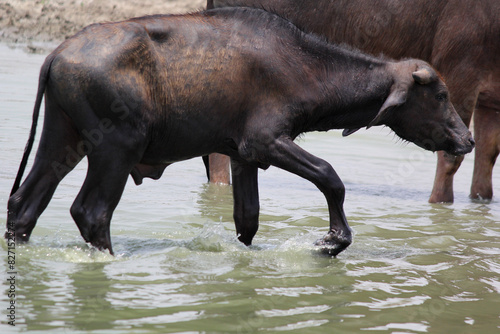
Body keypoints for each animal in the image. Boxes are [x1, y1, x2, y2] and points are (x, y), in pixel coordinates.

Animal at [6, 7, 472, 256]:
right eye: (441, 94)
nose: (466, 140)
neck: (303, 63)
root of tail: (57, 53)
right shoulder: (265, 142)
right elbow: (330, 177)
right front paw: (332, 240)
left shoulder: (243, 157)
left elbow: (247, 219)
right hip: (116, 149)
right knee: (92, 212)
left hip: (62, 141)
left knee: (23, 205)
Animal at [207, 0, 500, 202]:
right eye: (440, 95)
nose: (468, 140)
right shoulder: (462, 69)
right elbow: (450, 160)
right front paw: (439, 204)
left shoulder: (491, 103)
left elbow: (488, 155)